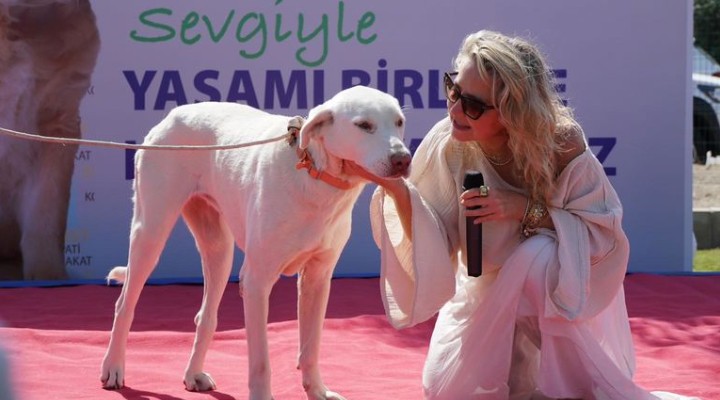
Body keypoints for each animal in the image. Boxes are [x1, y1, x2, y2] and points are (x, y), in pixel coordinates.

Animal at [101, 86, 414, 398]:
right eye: (364, 125)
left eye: (399, 122)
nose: (403, 159)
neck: (315, 174)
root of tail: (174, 114)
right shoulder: (256, 282)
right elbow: (261, 360)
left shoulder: (317, 279)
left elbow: (311, 349)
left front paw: (317, 391)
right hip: (150, 233)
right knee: (124, 305)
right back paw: (114, 367)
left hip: (219, 251)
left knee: (205, 315)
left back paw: (193, 374)